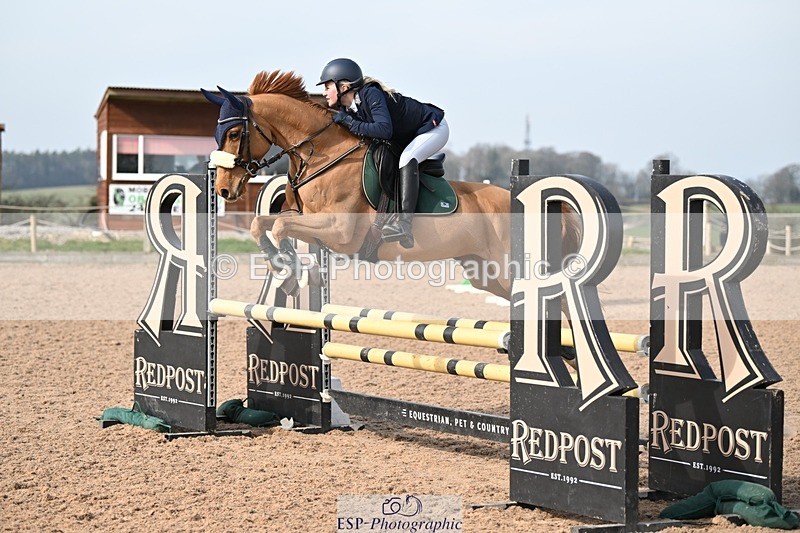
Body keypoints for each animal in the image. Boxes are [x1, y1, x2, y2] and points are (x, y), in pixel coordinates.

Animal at [202, 71, 580, 299]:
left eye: (233, 133)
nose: (223, 190)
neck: (325, 153)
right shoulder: (307, 221)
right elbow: (262, 223)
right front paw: (282, 264)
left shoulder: (340, 231)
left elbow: (279, 226)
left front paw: (289, 268)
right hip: (488, 273)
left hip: (509, 269)